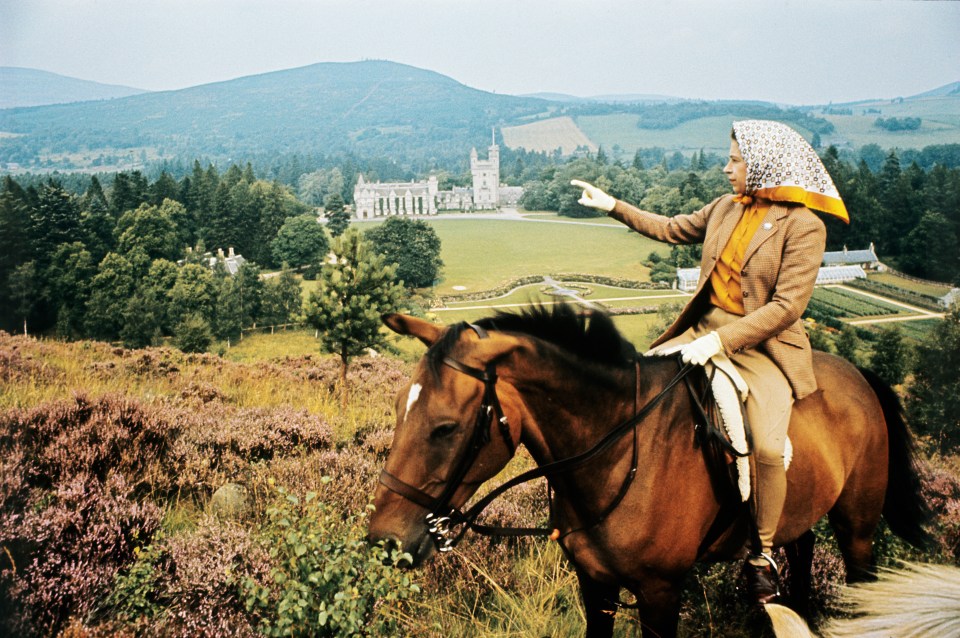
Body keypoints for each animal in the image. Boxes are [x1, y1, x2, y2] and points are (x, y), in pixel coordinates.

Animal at [370, 308, 928, 636]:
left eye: (445, 428)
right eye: (396, 407)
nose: (384, 543)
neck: (617, 457)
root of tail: (857, 375)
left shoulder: (660, 593)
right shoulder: (595, 586)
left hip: (857, 528)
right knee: (802, 548)